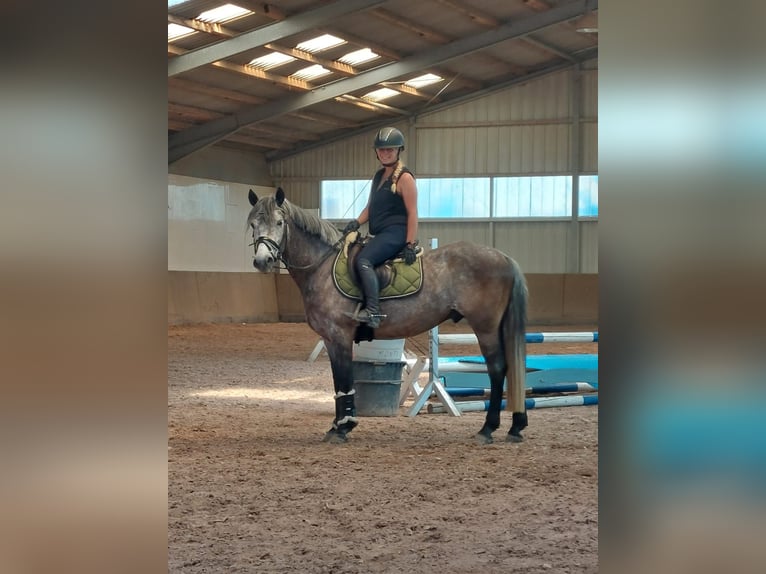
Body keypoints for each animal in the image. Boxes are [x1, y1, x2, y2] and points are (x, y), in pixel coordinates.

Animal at [247, 188, 529, 444]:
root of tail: (503, 257)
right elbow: (338, 382)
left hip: (485, 328)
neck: (322, 265)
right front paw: (337, 425)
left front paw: (343, 427)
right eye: (253, 224)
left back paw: (488, 428)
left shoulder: (339, 336)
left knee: (497, 369)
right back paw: (515, 426)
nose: (262, 261)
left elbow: (344, 380)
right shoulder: (329, 339)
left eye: (280, 223)